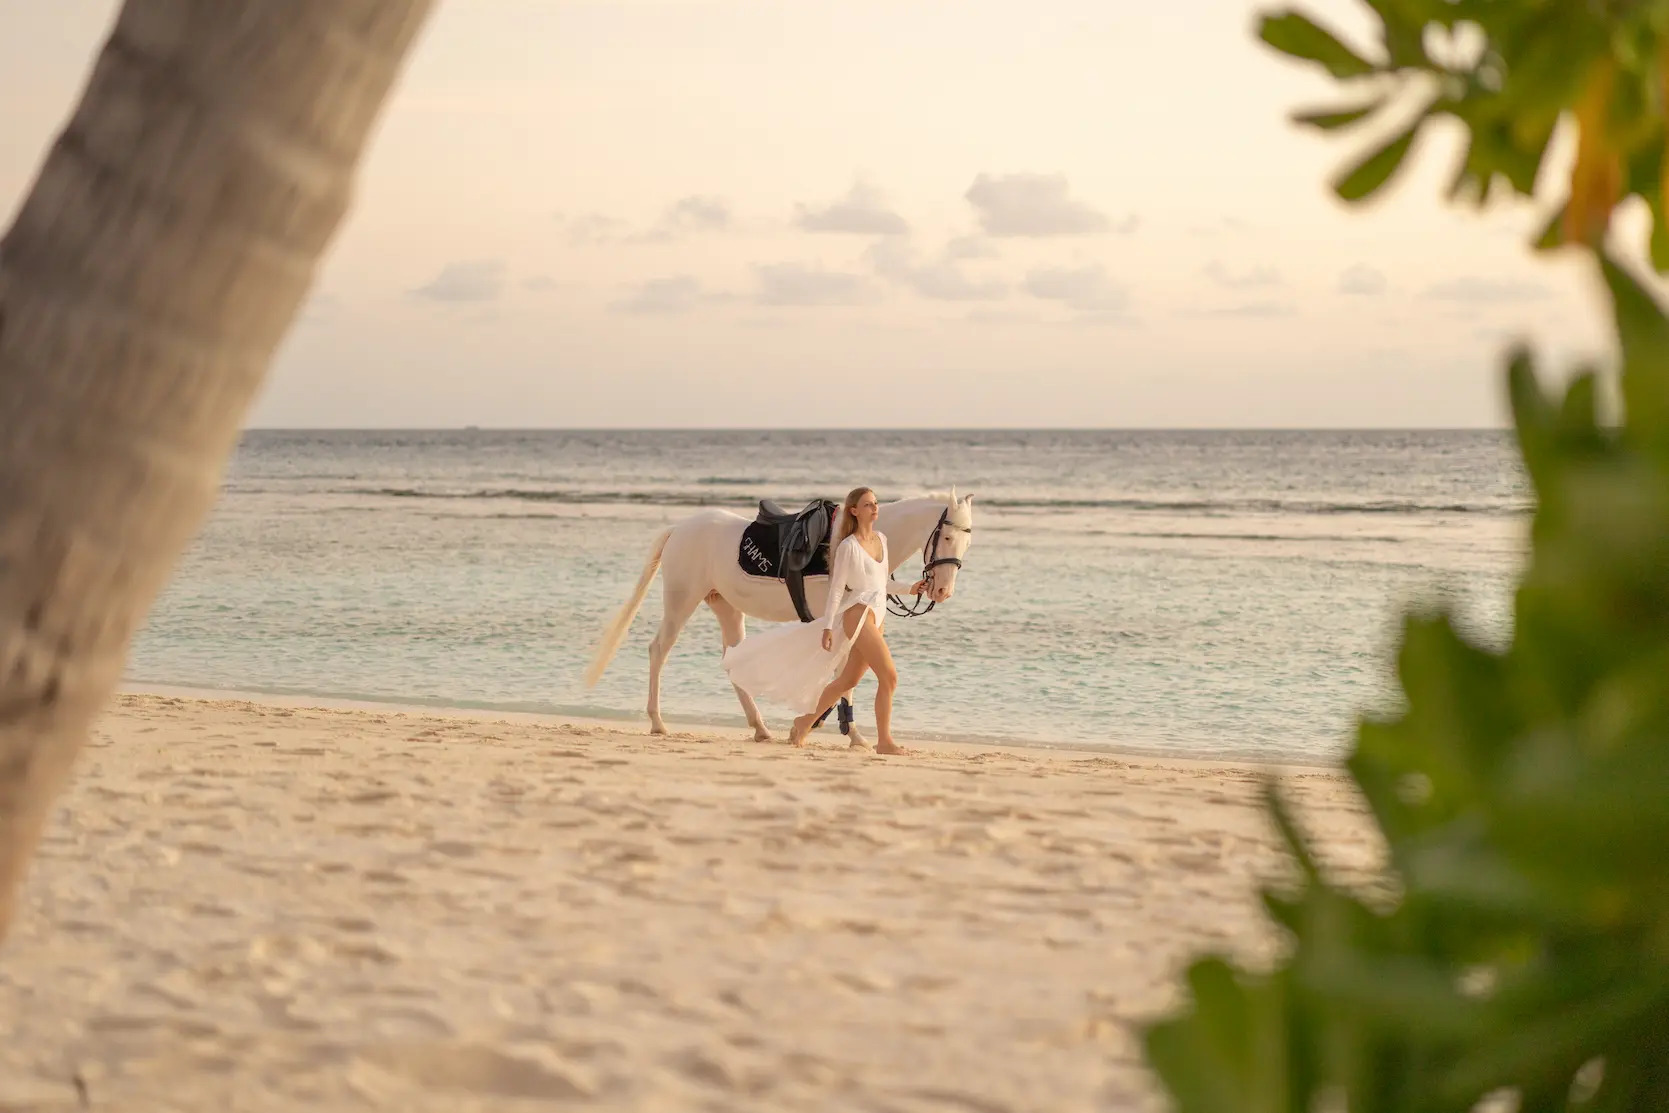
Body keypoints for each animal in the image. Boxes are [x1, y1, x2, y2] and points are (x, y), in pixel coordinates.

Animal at [584, 490, 975, 741]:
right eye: (947, 536)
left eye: (967, 541)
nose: (942, 591)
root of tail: (679, 529)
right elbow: (842, 676)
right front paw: (847, 733)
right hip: (682, 601)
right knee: (659, 650)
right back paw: (658, 723)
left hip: (725, 606)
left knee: (733, 661)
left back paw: (760, 728)